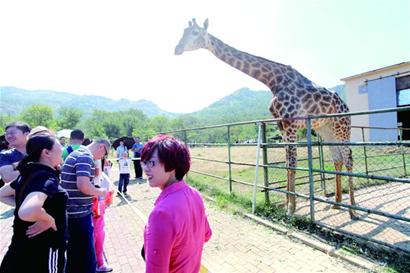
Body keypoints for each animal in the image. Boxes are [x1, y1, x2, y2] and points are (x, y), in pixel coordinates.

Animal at [175, 18, 358, 218]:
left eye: (195, 33)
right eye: (183, 32)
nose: (177, 48)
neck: (272, 80)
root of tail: (346, 106)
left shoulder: (290, 123)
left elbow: (292, 164)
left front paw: (291, 208)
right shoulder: (282, 124)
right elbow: (286, 164)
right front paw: (288, 204)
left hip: (342, 126)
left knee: (348, 157)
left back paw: (353, 209)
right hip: (326, 129)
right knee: (337, 158)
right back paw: (337, 203)